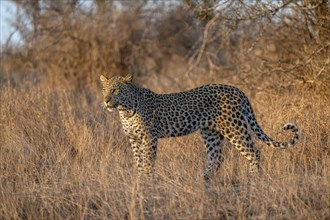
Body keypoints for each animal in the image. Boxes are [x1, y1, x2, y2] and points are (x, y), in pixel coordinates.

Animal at [99, 73, 300, 180]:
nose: (106, 100)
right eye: (104, 90)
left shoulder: (149, 138)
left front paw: (148, 181)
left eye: (115, 90)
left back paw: (252, 179)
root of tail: (238, 90)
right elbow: (139, 161)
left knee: (254, 152)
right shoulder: (134, 139)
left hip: (234, 128)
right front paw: (140, 179)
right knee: (217, 157)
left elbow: (148, 161)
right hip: (211, 132)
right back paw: (204, 178)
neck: (125, 110)